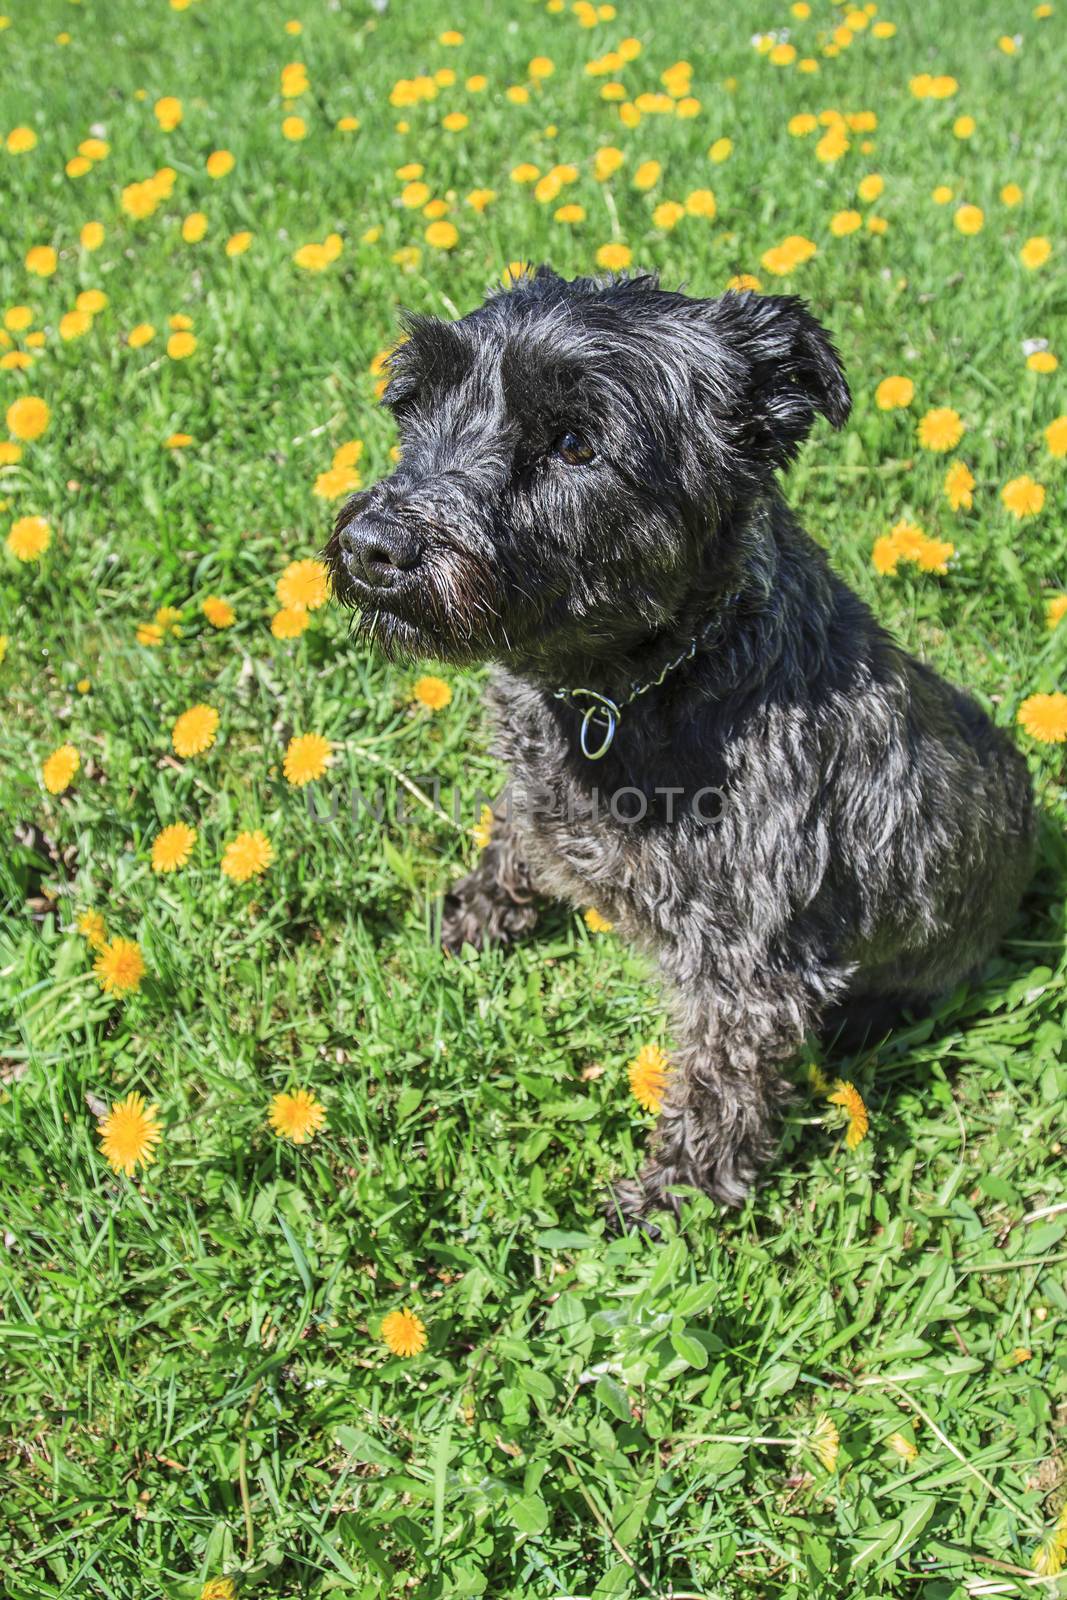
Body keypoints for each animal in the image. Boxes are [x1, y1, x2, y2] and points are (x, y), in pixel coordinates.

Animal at [329, 272, 1036, 1222]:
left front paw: (676, 1200)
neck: (622, 692)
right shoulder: (534, 788)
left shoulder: (747, 964)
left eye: (575, 443)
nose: (374, 548)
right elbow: (512, 832)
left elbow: (717, 1084)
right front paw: (480, 910)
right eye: (413, 406)